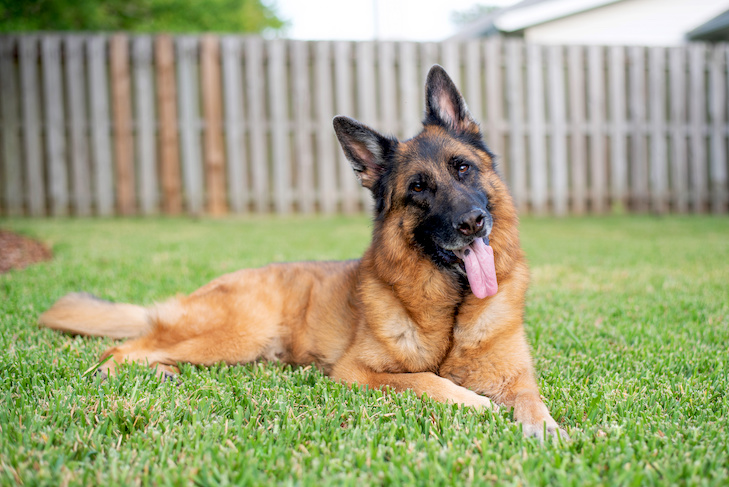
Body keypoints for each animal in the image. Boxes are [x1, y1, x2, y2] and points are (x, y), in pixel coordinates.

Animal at [38, 65, 568, 442]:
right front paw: (477, 404)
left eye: (463, 169)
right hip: (239, 334)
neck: (454, 307)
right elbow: (426, 381)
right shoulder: (358, 372)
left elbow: (532, 400)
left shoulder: (517, 376)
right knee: (118, 350)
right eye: (419, 189)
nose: (472, 223)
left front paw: (545, 429)